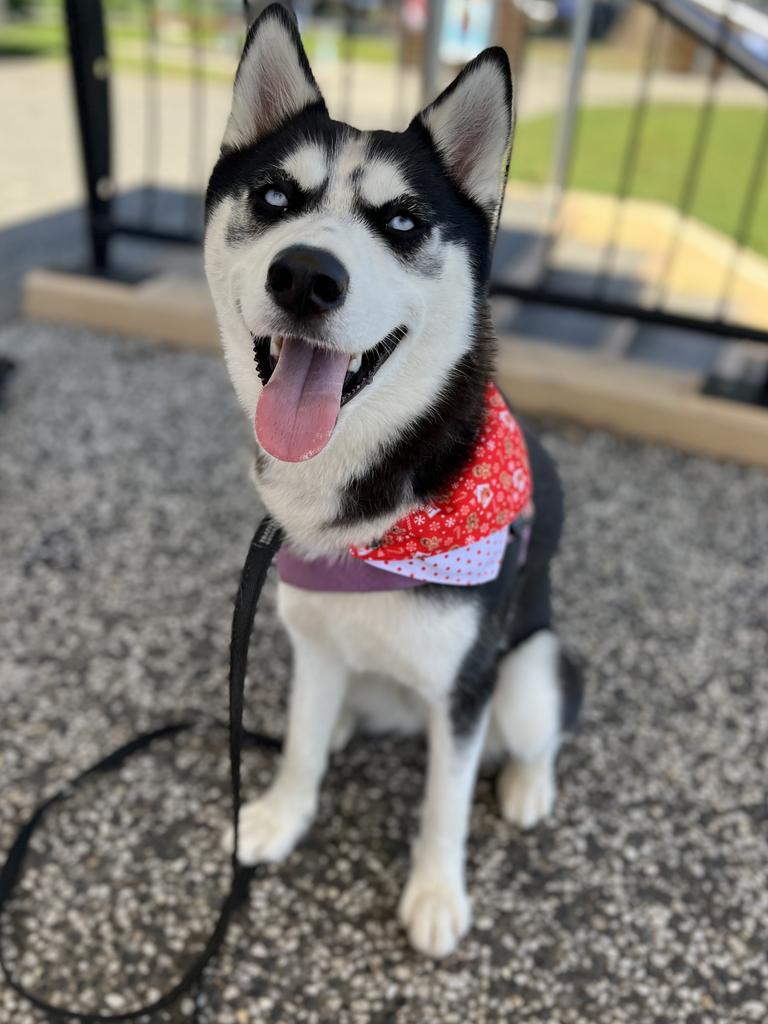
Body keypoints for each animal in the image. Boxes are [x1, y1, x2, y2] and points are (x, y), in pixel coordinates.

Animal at [204, 6, 581, 958]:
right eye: (275, 199)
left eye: (404, 222)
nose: (306, 275)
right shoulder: (311, 638)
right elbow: (301, 744)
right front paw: (280, 815)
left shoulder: (466, 688)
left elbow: (445, 804)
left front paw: (437, 894)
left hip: (529, 672)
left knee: (534, 733)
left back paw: (527, 787)